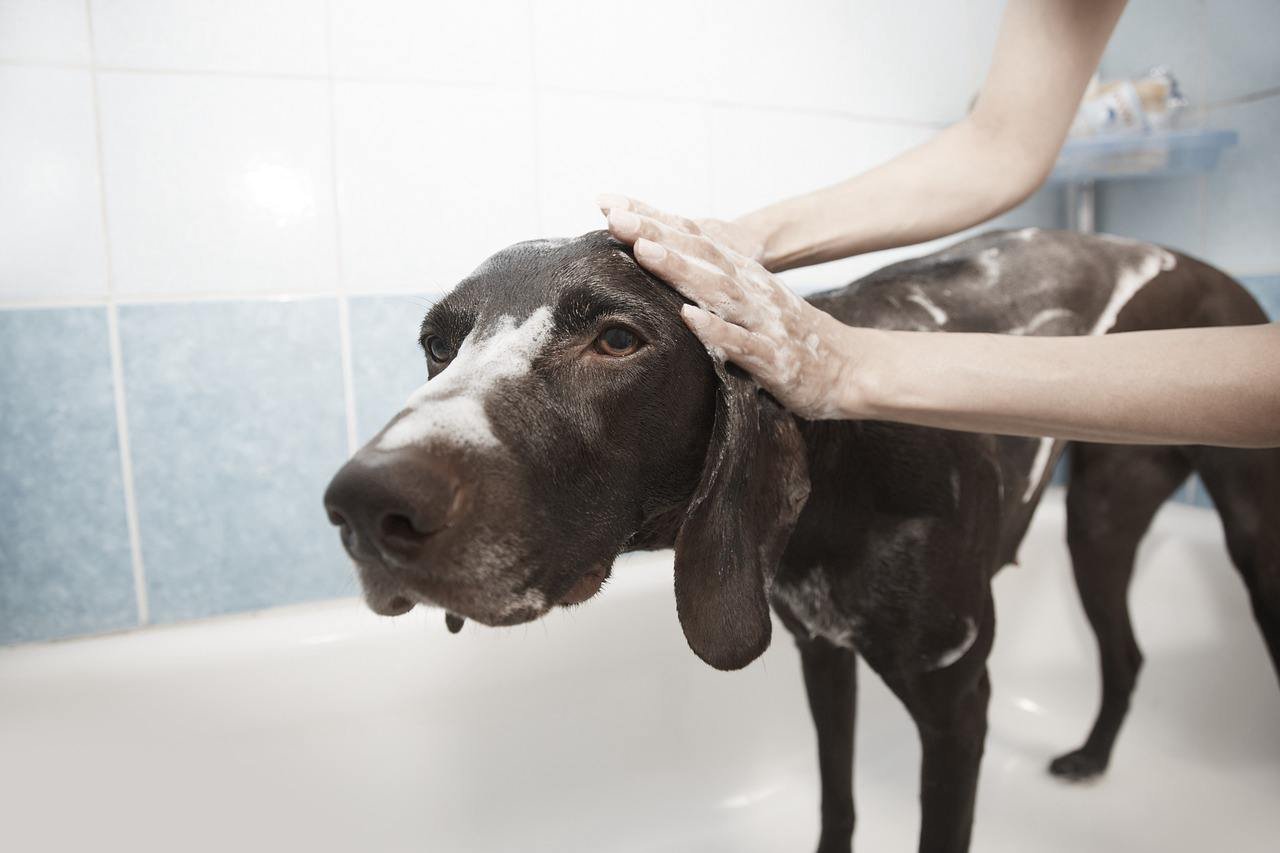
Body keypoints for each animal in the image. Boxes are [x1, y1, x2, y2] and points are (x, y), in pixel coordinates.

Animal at [325, 227, 1274, 850]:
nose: (364, 505)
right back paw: (1093, 754)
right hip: (1101, 521)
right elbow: (838, 800)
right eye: (437, 344)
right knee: (1126, 652)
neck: (845, 472)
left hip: (1217, 532)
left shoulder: (957, 706)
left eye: (617, 338)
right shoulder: (821, 652)